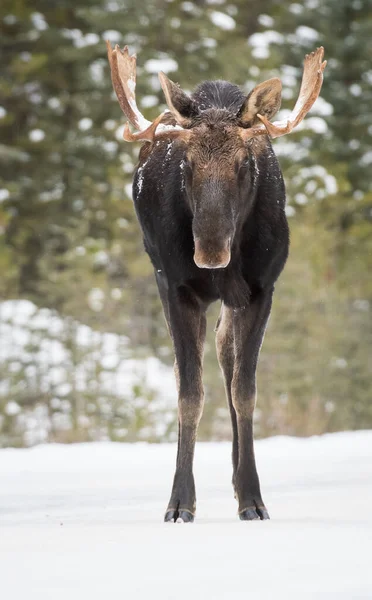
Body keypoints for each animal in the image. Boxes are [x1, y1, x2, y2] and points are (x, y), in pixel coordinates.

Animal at [107, 42, 326, 520]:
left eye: (245, 164)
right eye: (187, 164)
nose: (209, 252)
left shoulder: (263, 288)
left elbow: (245, 391)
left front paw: (252, 499)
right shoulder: (175, 287)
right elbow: (189, 393)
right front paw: (179, 502)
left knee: (226, 353)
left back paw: (237, 476)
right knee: (190, 370)